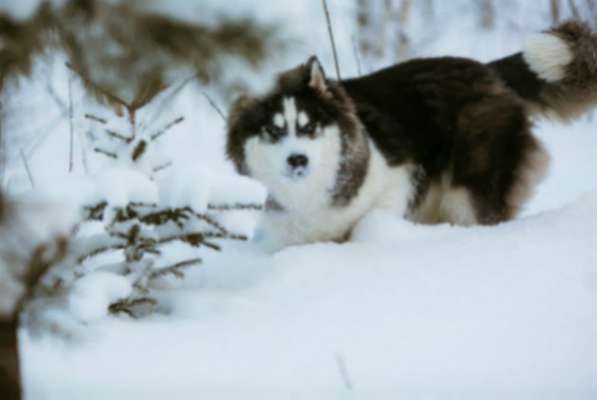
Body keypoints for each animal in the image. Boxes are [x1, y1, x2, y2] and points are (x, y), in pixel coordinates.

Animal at [227, 21, 596, 250]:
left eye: (309, 127)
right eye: (274, 130)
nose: (297, 160)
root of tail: (485, 70)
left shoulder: (399, 178)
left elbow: (368, 223)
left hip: (471, 191)